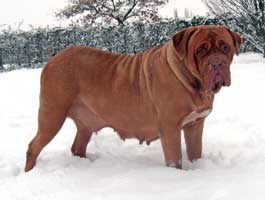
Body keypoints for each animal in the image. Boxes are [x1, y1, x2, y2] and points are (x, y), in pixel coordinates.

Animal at [23, 25, 240, 172]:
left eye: (225, 48)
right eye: (200, 50)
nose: (217, 63)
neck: (190, 80)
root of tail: (52, 60)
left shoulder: (195, 124)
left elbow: (195, 152)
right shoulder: (170, 128)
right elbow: (175, 159)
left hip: (85, 124)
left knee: (77, 146)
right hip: (52, 116)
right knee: (34, 146)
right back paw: (30, 172)